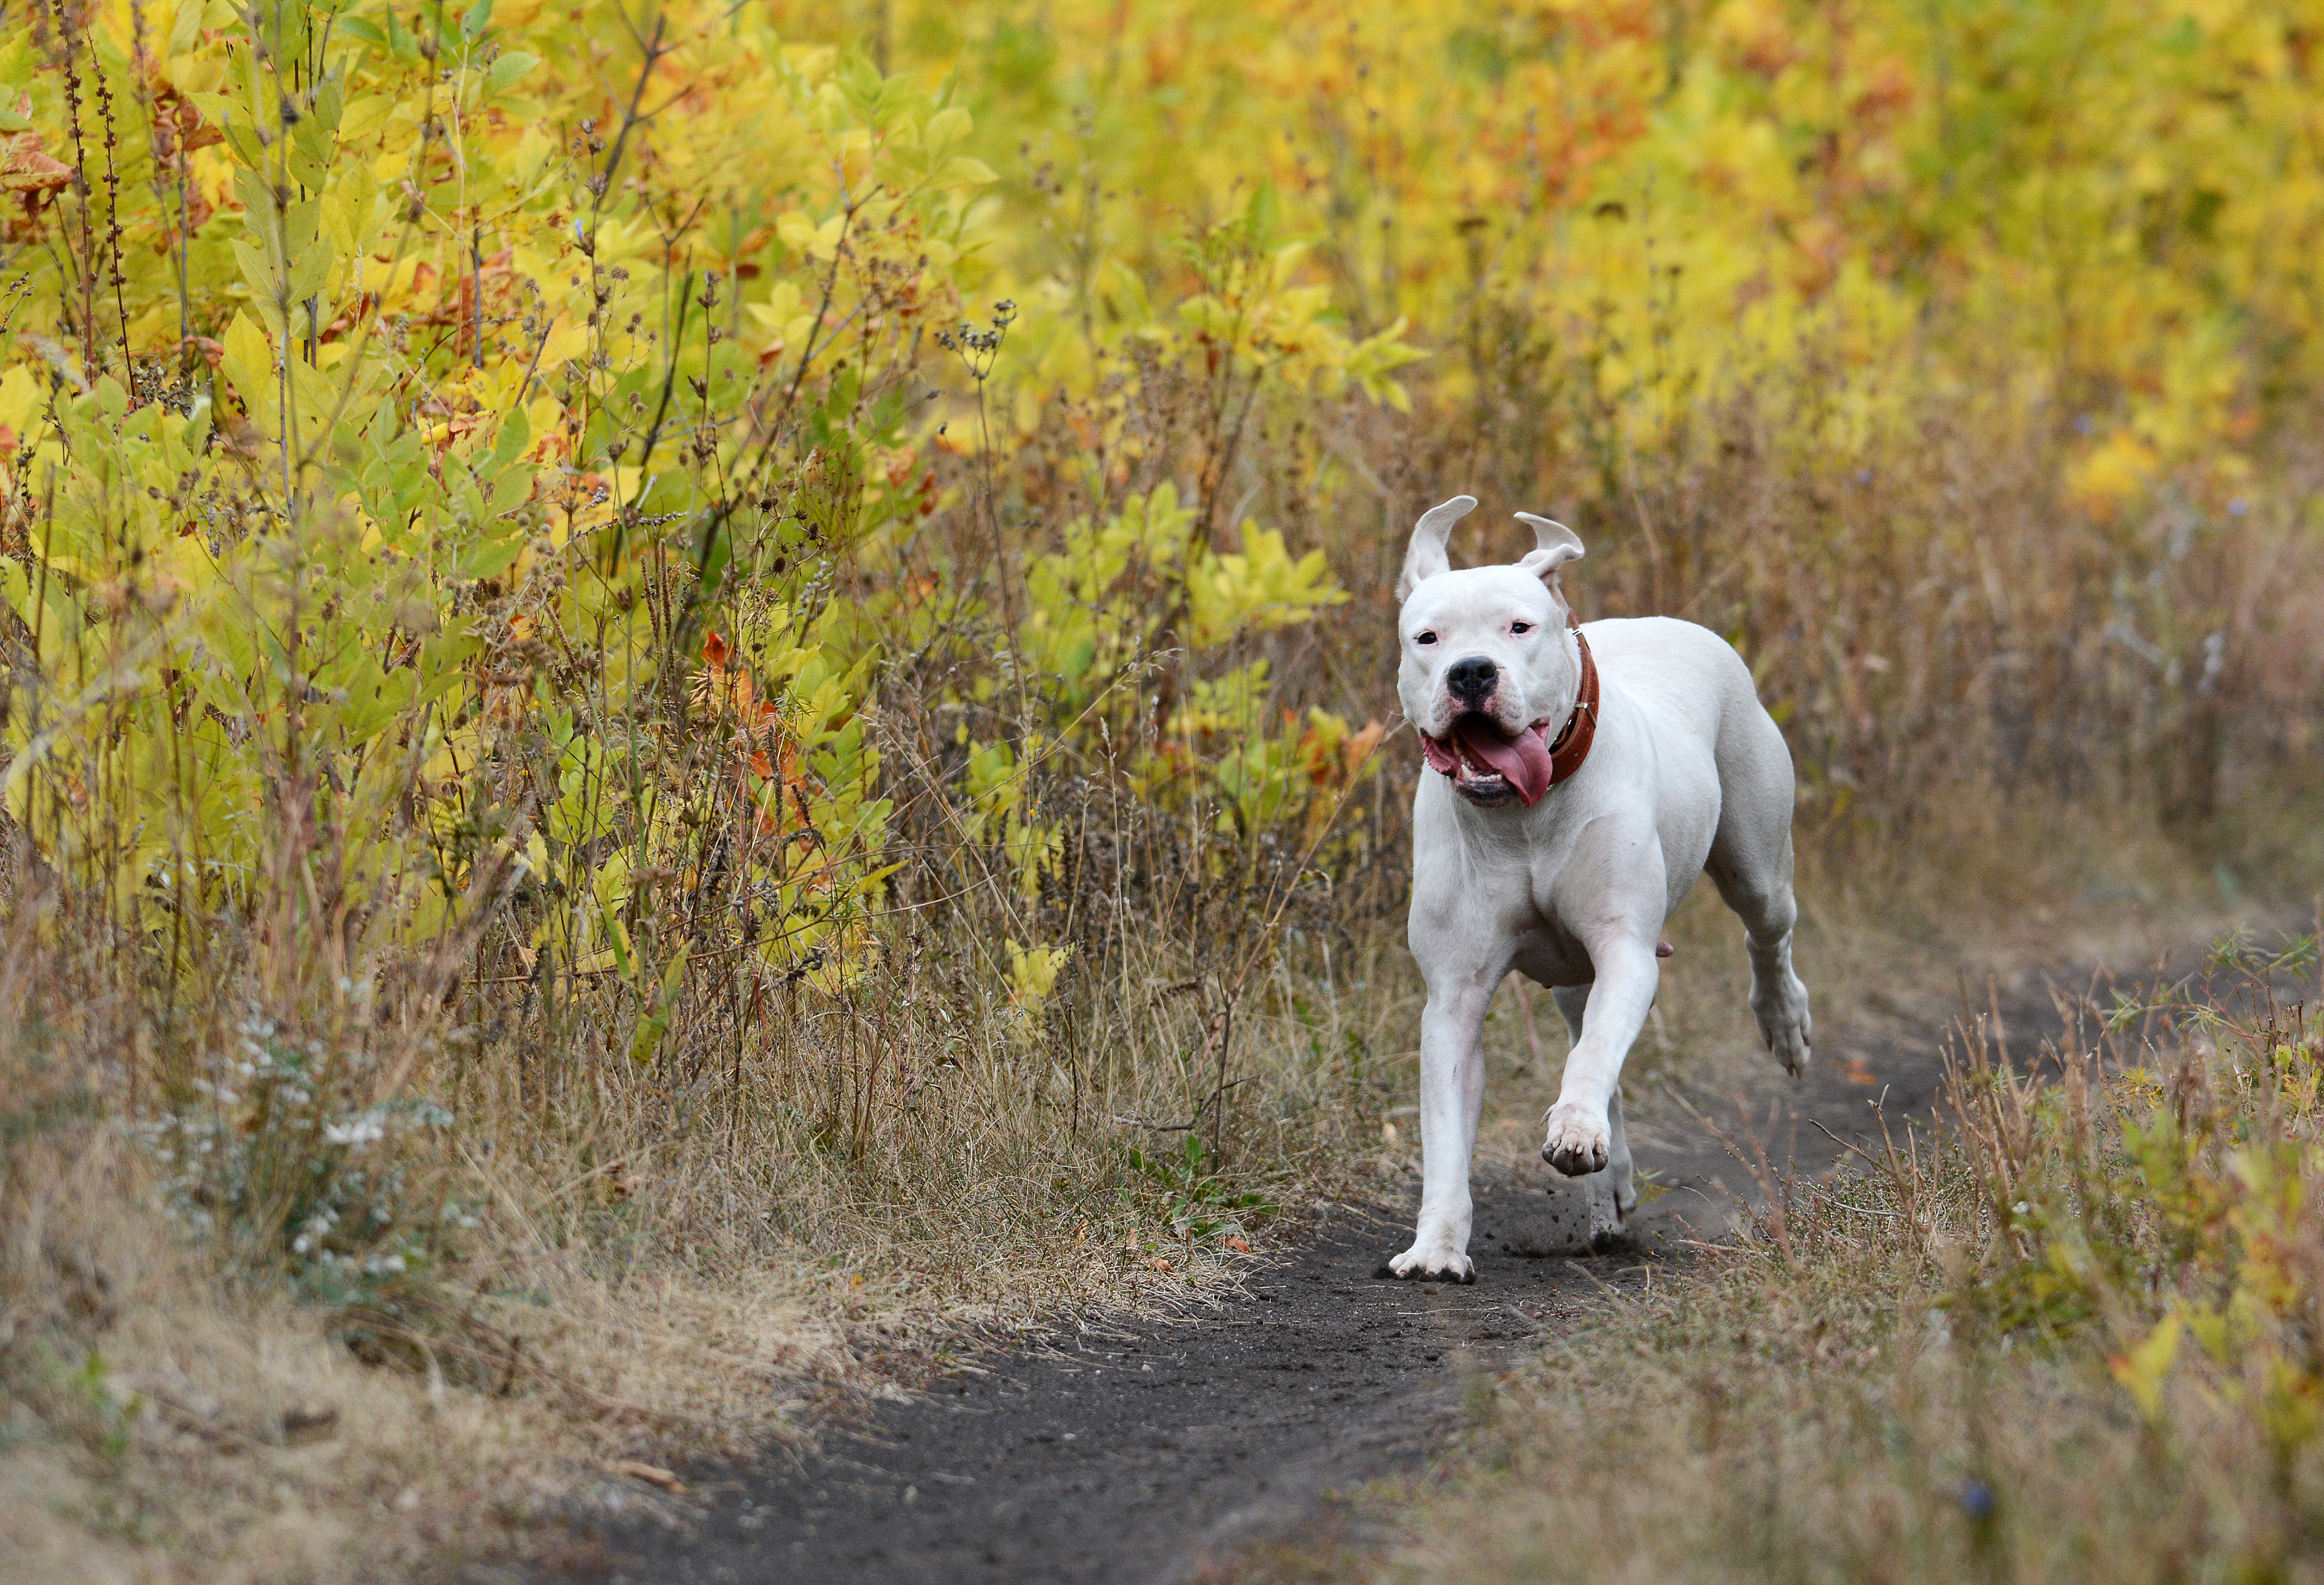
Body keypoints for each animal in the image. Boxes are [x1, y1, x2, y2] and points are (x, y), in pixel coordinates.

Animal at [1376, 499, 1813, 1274]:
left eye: (1519, 627)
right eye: (1428, 637)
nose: (1470, 672)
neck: (1522, 817)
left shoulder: (1625, 951)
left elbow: (1593, 1061)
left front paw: (1576, 1128)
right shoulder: (1454, 996)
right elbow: (1448, 1135)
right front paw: (1436, 1247)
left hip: (1756, 861)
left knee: (1766, 935)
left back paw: (1783, 1022)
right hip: (1574, 977)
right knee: (1591, 1032)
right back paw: (1611, 1191)